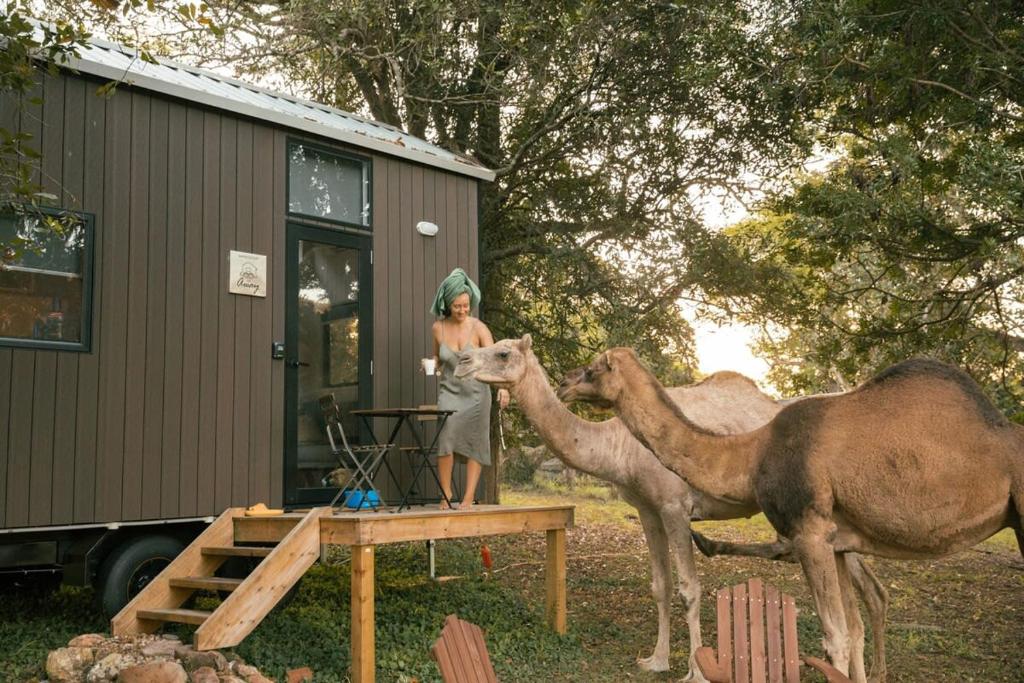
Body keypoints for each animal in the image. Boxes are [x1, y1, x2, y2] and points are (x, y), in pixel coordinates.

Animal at [454, 337, 888, 683]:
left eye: (503, 352)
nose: (461, 360)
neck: (619, 448)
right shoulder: (648, 511)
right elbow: (660, 587)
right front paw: (656, 660)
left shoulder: (674, 505)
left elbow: (689, 589)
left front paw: (695, 671)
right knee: (868, 594)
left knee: (865, 597)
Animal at [561, 350, 1024, 679]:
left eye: (593, 368)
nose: (565, 382)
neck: (751, 452)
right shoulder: (837, 541)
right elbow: (850, 631)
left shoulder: (810, 532)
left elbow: (835, 639)